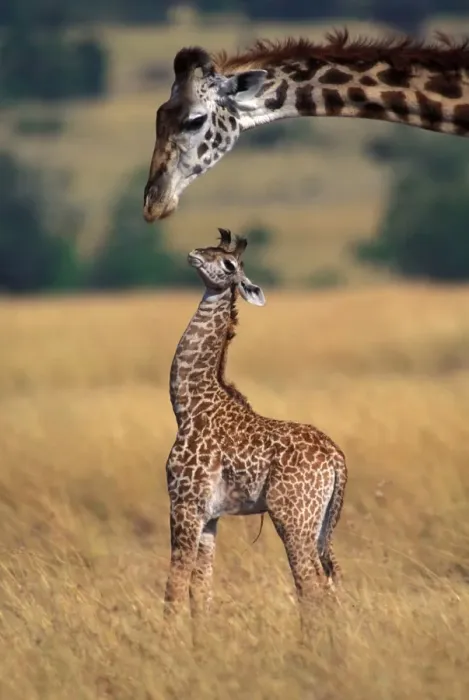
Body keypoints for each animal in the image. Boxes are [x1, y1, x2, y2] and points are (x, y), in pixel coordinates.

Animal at [164, 227, 347, 638]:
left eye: (229, 263)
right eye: (211, 248)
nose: (193, 254)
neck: (189, 404)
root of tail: (337, 460)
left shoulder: (185, 503)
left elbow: (174, 587)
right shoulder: (211, 516)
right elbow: (200, 590)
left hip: (293, 517)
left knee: (311, 586)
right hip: (319, 523)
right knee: (331, 584)